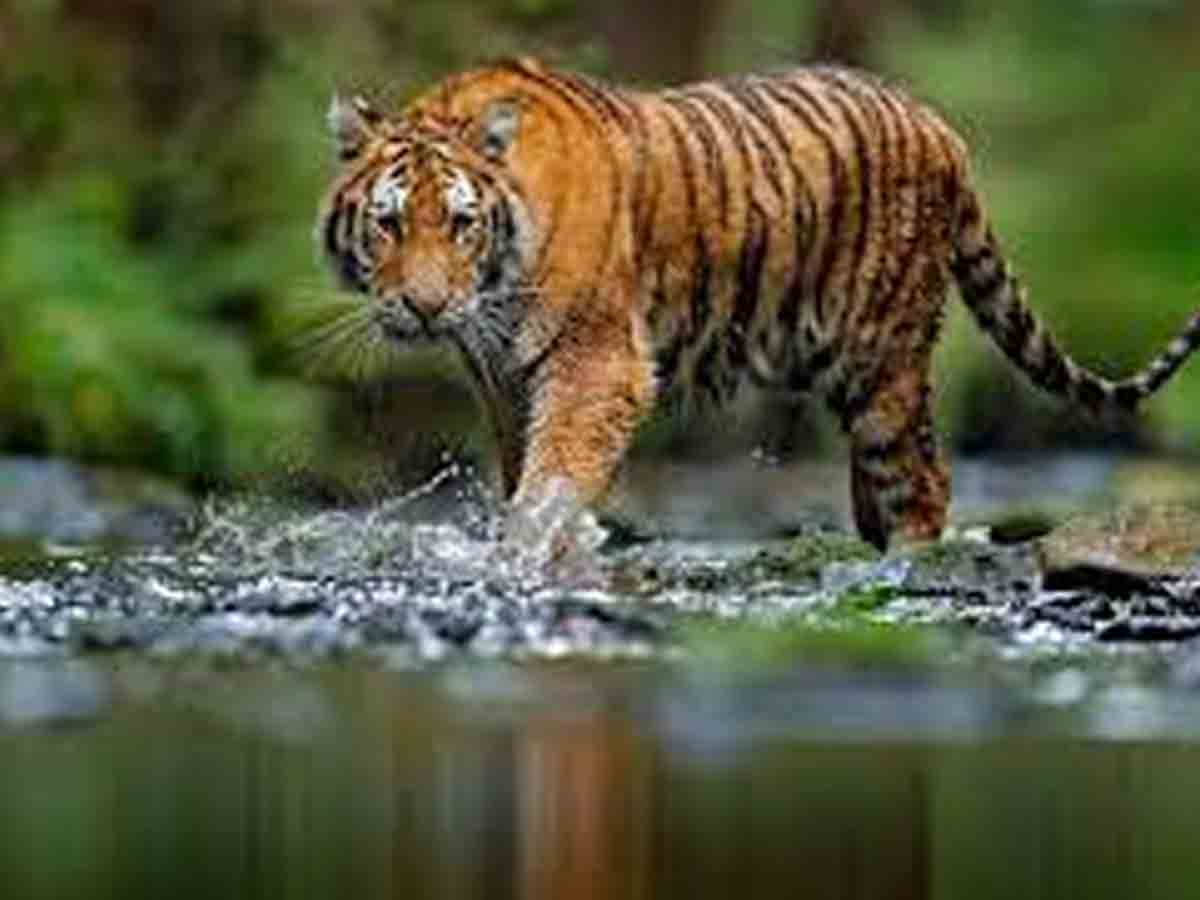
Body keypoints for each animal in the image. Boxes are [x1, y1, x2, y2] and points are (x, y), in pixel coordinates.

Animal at [316, 56, 1200, 551]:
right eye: (389, 224)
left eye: (461, 224)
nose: (425, 307)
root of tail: (939, 124)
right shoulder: (504, 378)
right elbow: (521, 468)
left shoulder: (599, 363)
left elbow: (554, 476)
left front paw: (532, 548)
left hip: (881, 362)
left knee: (924, 483)